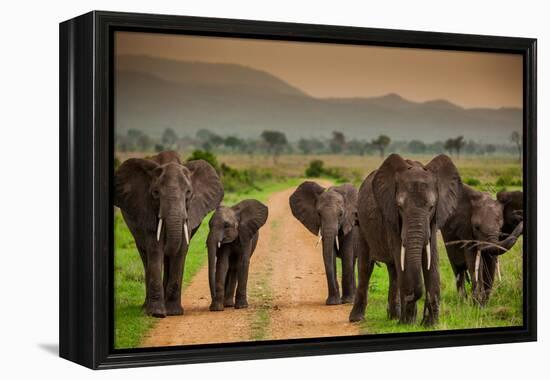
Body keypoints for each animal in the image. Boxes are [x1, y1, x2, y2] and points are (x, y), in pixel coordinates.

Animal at [114, 151, 224, 318]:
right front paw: (157, 313)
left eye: (188, 193)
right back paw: (145, 308)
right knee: (145, 255)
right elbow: (155, 249)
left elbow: (181, 251)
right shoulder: (147, 210)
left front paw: (174, 312)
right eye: (155, 193)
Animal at [352, 154, 464, 324]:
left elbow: (432, 259)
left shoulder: (433, 220)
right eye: (399, 207)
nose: (411, 295)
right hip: (363, 226)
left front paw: (430, 324)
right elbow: (402, 259)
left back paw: (394, 317)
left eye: (431, 207)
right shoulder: (392, 218)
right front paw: (408, 322)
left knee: (393, 271)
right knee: (366, 267)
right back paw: (357, 318)